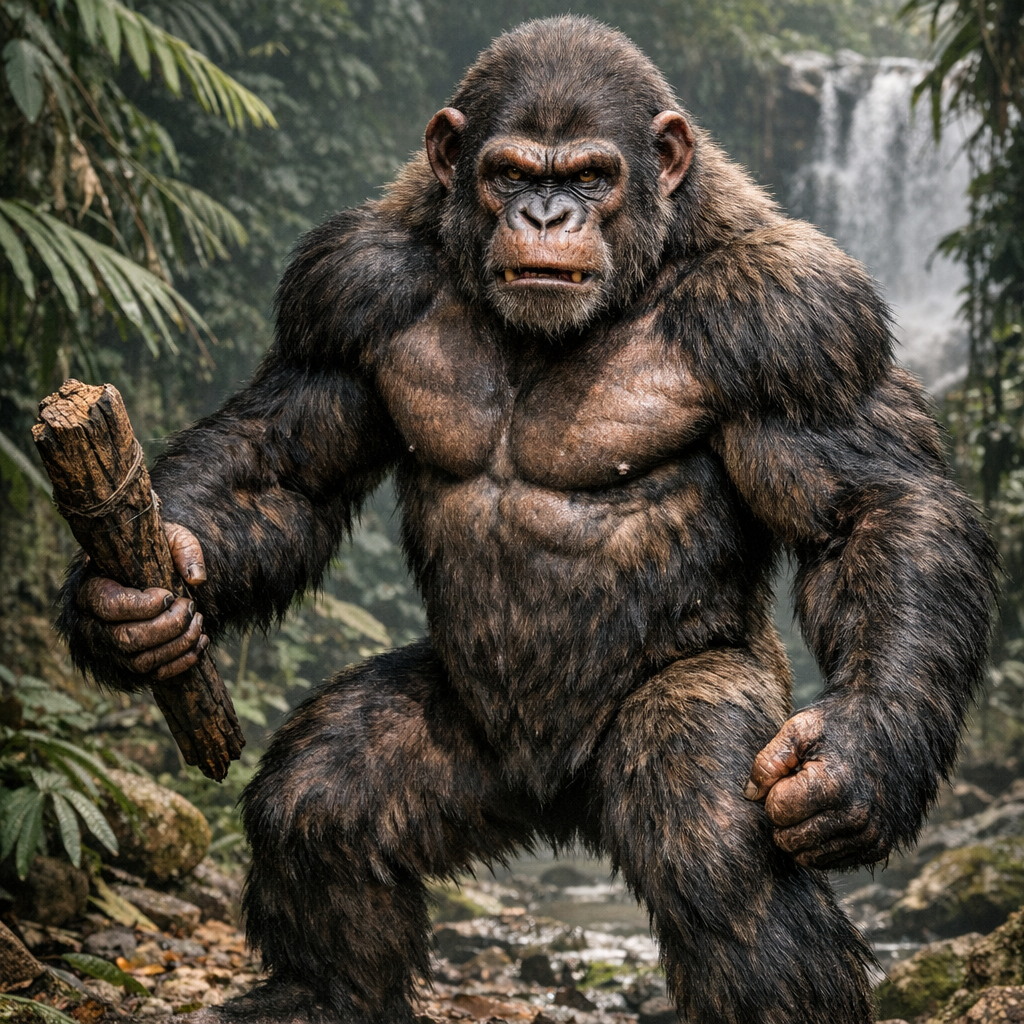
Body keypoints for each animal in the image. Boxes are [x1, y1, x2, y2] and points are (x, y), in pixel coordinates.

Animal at [58, 17, 997, 1024]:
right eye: (510, 173)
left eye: (590, 176)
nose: (547, 216)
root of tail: (557, 800)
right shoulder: (345, 287)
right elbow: (285, 463)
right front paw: (136, 603)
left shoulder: (799, 317)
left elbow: (871, 507)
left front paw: (860, 763)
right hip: (474, 750)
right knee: (319, 800)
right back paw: (319, 993)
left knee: (712, 842)